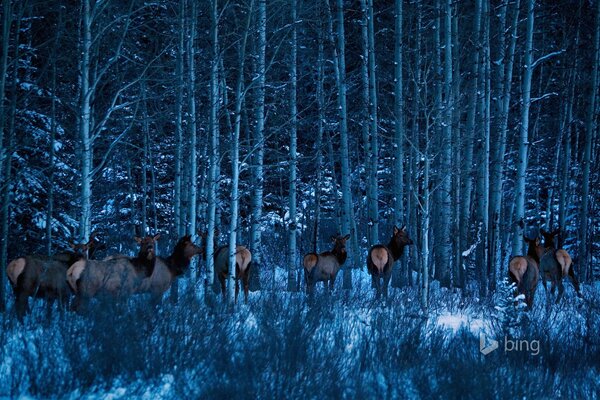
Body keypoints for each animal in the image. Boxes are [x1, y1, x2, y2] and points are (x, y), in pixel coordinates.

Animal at [67, 234, 200, 310]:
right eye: (190, 244)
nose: (201, 248)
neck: (172, 268)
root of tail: (71, 270)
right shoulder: (157, 289)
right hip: (86, 293)